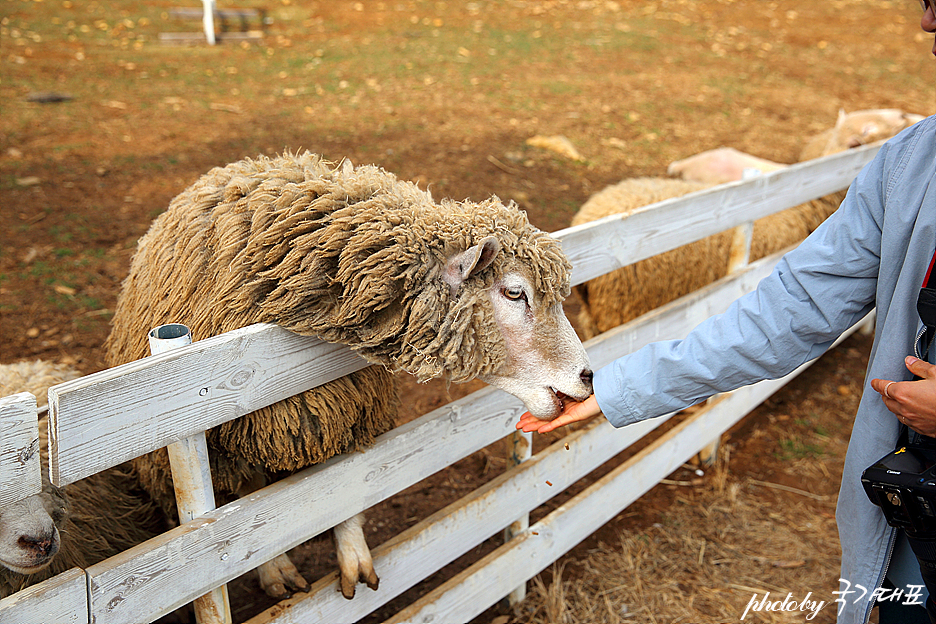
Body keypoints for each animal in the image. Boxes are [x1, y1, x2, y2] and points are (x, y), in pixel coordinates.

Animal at [104, 151, 592, 600]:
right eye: (514, 292)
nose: (588, 376)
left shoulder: (341, 409)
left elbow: (342, 492)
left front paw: (353, 559)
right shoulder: (221, 435)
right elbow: (245, 513)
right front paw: (276, 571)